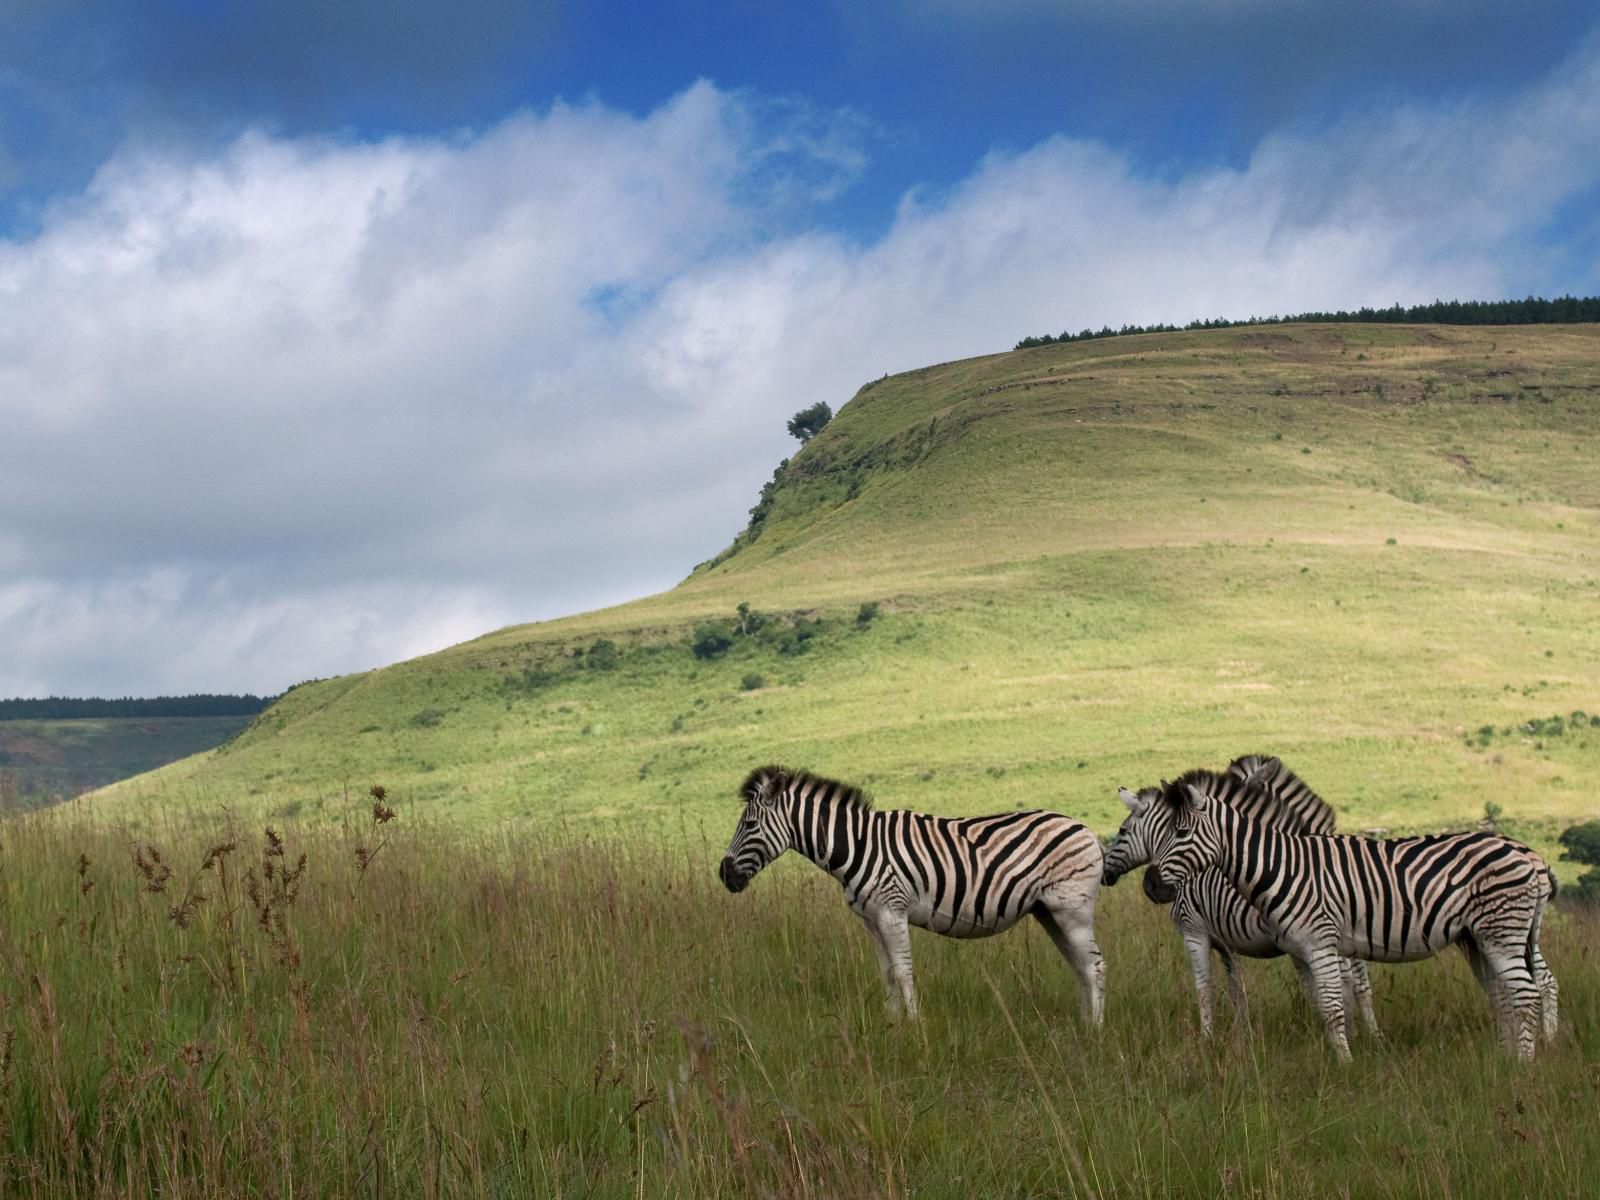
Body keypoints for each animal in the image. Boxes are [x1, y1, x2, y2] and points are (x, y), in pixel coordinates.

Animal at [720, 771, 1107, 1024]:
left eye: (750, 825)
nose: (724, 875)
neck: (858, 846)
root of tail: (1086, 829)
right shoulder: (870, 919)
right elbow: (887, 972)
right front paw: (892, 1025)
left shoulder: (892, 911)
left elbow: (904, 971)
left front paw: (915, 1028)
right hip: (1049, 912)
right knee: (1080, 966)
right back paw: (1084, 1024)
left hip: (1072, 909)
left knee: (1095, 966)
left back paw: (1096, 1031)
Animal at [1100, 764, 1376, 1036]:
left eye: (1122, 831)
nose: (1104, 873)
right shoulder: (1226, 944)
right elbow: (1237, 991)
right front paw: (1244, 1035)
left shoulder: (1194, 932)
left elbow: (1203, 988)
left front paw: (1208, 1038)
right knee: (1359, 980)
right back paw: (1370, 1035)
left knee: (1347, 979)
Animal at [1152, 780, 1561, 1062]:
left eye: (1182, 833)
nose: (1152, 885)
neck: (1282, 866)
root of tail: (1533, 857)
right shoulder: (1306, 949)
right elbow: (1327, 1007)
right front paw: (1339, 1058)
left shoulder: (1321, 942)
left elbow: (1334, 1009)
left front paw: (1346, 1065)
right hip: (1479, 939)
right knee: (1504, 994)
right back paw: (1505, 1059)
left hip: (1503, 934)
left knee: (1526, 993)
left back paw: (1523, 1066)